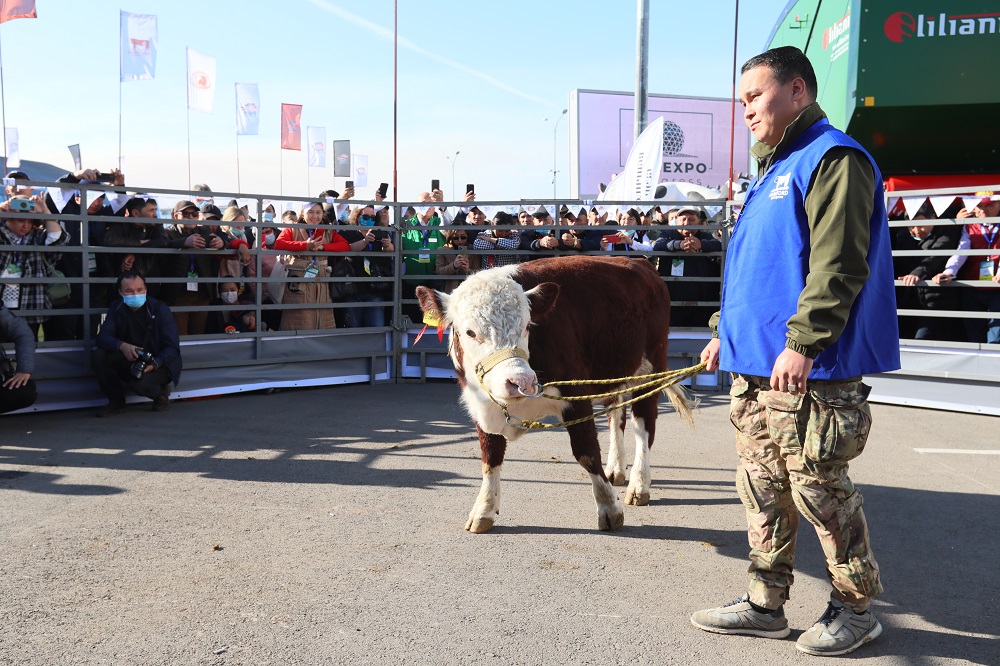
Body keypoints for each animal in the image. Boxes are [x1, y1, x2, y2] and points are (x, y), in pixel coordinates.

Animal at [412, 252, 688, 532]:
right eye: (470, 332)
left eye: (527, 325)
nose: (521, 382)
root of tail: (641, 262)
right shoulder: (482, 406)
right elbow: (490, 457)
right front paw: (483, 510)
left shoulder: (576, 394)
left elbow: (587, 452)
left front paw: (609, 508)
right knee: (616, 416)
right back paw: (616, 469)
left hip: (651, 366)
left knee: (643, 425)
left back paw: (639, 484)